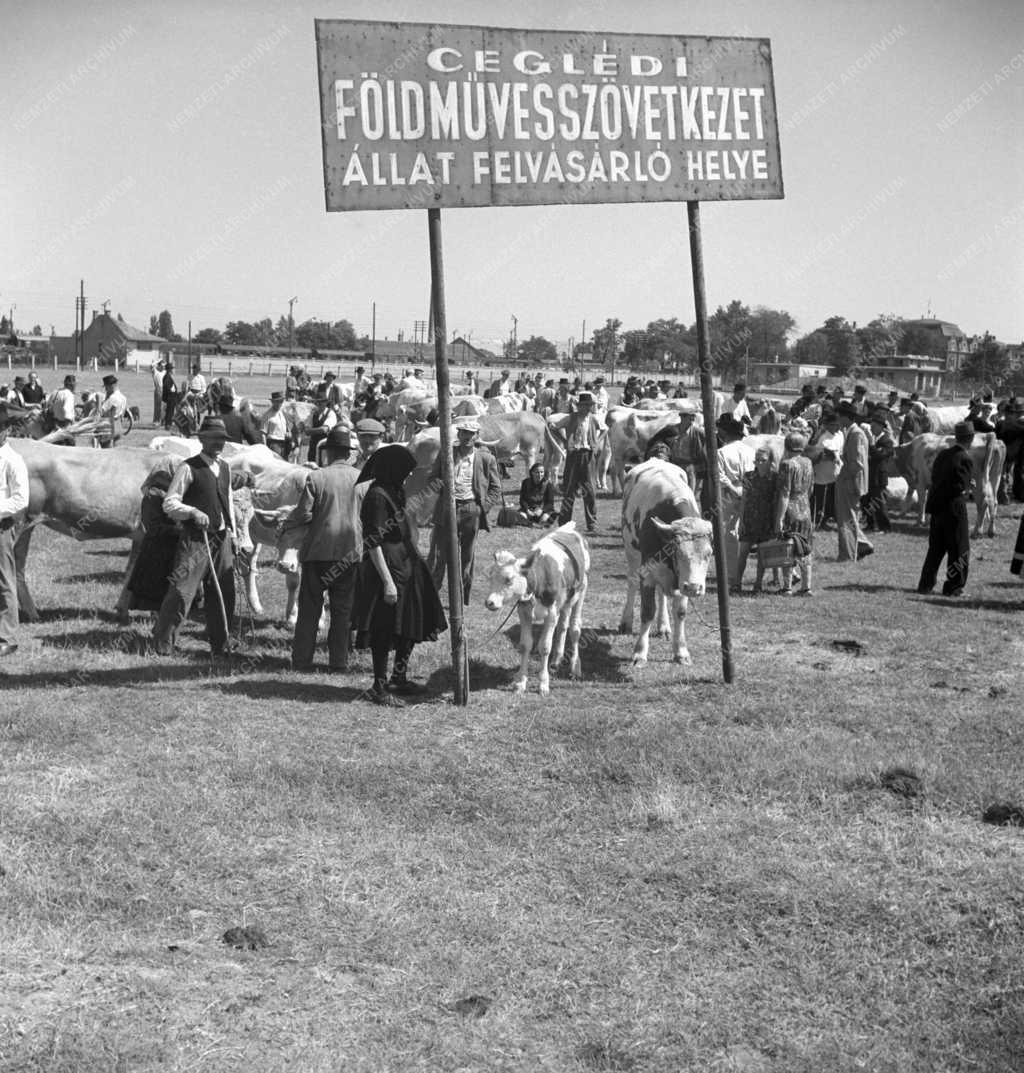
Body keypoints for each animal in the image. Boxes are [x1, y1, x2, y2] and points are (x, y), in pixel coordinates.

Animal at [485, 521, 592, 695]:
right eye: (491, 577)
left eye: (509, 579)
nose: (490, 602)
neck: (539, 577)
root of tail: (570, 528)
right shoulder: (524, 612)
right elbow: (525, 645)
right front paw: (521, 682)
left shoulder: (551, 613)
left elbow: (545, 647)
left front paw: (543, 683)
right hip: (565, 602)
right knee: (563, 626)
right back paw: (557, 660)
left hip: (581, 591)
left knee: (575, 629)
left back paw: (575, 668)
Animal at [618, 459, 712, 660]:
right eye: (679, 552)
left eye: (709, 554)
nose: (694, 587)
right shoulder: (647, 572)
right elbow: (647, 611)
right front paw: (640, 652)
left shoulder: (681, 579)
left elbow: (681, 612)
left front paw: (681, 651)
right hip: (632, 553)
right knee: (632, 583)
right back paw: (626, 622)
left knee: (661, 594)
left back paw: (663, 626)